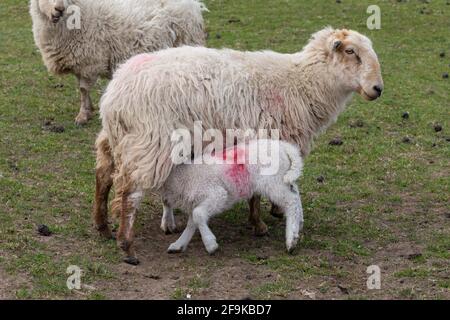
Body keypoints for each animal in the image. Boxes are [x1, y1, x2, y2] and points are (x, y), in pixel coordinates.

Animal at [29, 0, 207, 125]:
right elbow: (81, 88)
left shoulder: (90, 61)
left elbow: (83, 89)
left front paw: (83, 115)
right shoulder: (80, 61)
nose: (59, 9)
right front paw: (89, 109)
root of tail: (194, 5)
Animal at [94, 26, 384, 262]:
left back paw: (102, 226)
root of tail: (116, 93)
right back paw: (127, 245)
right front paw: (260, 225)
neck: (302, 84)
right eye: (351, 51)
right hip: (150, 141)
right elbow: (257, 191)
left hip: (117, 138)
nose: (378, 89)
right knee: (130, 192)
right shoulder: (262, 138)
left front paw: (272, 213)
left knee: (103, 175)